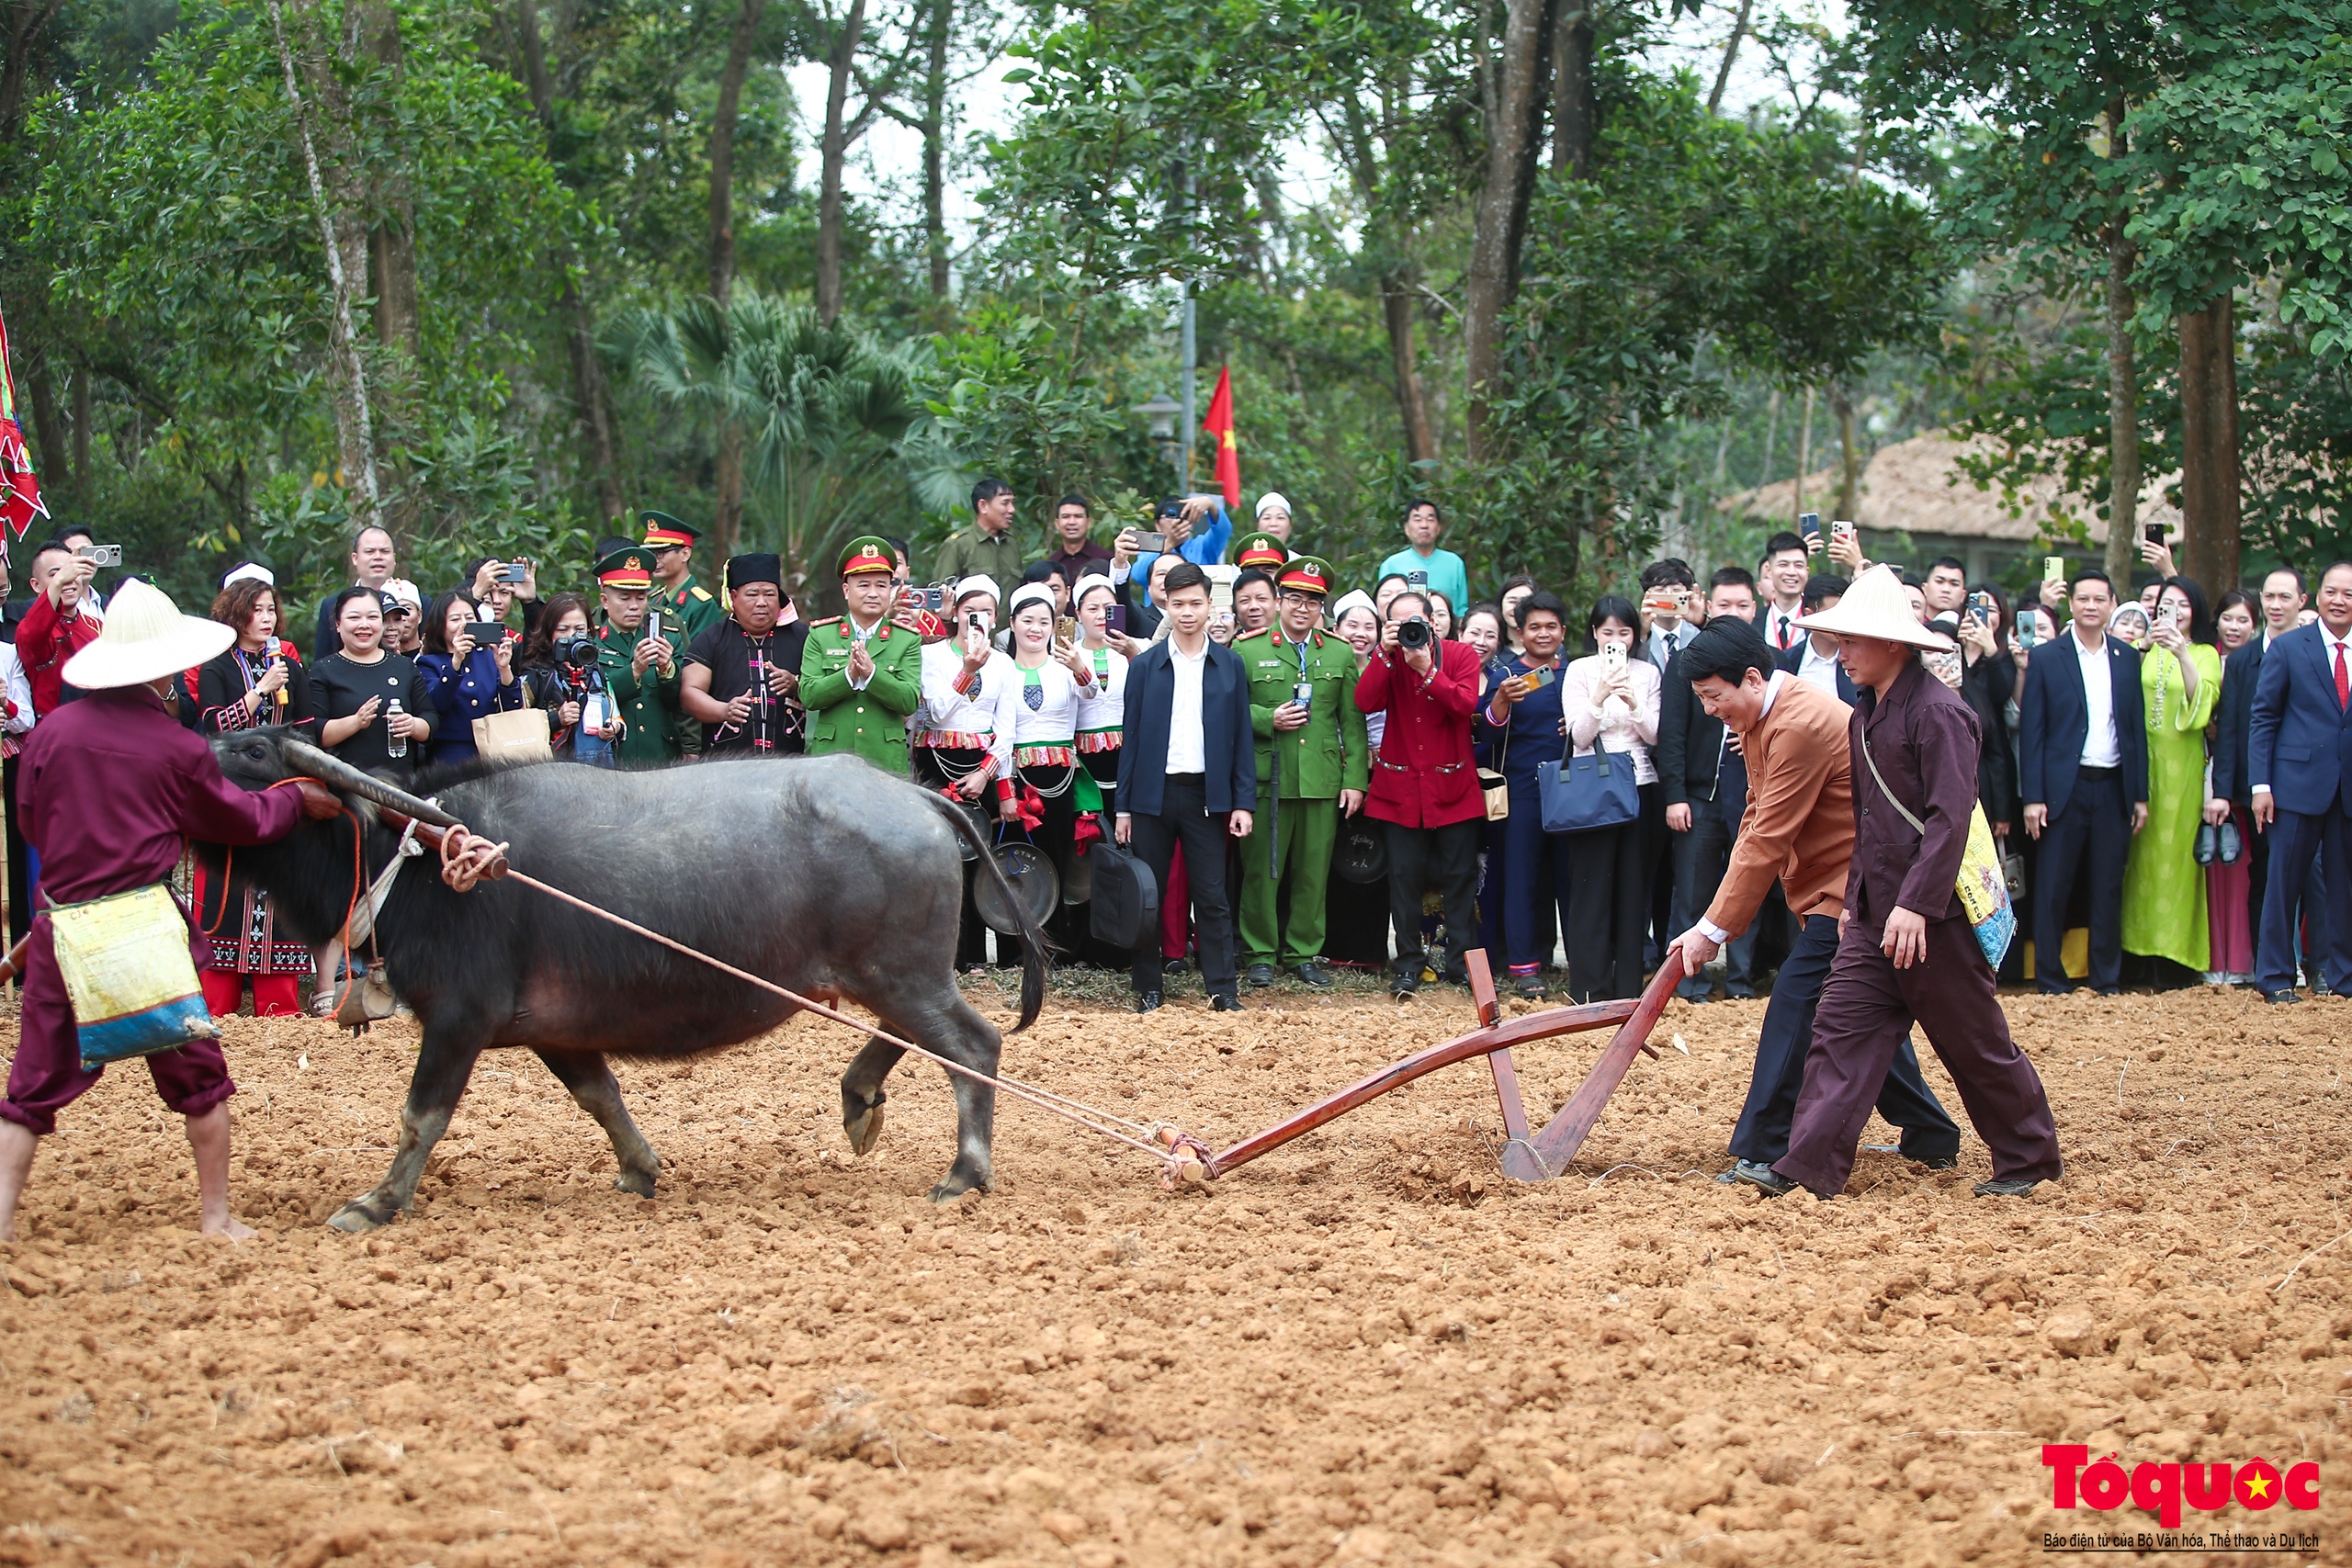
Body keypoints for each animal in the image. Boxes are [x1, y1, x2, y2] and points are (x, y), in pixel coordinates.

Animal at [202, 728, 1048, 1232]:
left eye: (255, 749)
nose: (199, 750)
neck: (420, 854)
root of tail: (913, 794)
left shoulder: (459, 1016)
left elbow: (421, 1116)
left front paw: (375, 1202)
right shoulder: (553, 1029)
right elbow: (600, 1096)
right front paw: (640, 1169)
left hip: (901, 972)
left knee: (973, 1047)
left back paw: (964, 1171)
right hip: (892, 972)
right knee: (914, 1035)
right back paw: (859, 1100)